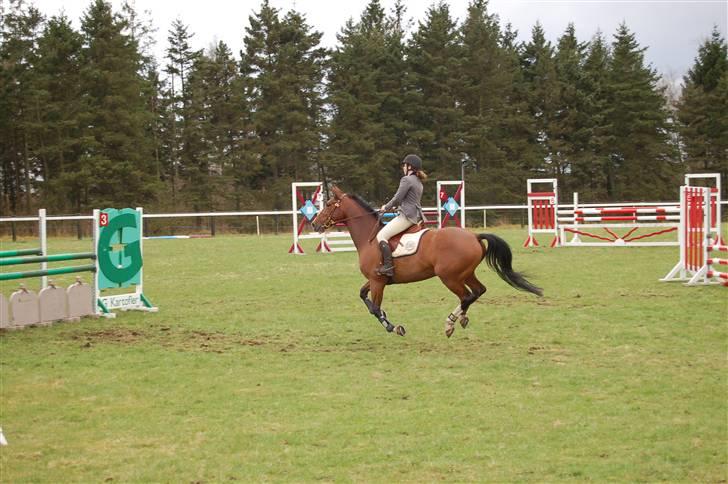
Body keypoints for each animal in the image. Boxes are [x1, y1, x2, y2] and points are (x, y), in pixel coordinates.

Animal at [310, 187, 544, 338]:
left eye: (329, 204)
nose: (314, 224)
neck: (370, 237)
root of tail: (474, 236)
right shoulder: (377, 279)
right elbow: (363, 296)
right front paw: (388, 320)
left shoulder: (377, 281)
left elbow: (375, 308)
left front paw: (394, 327)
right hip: (466, 273)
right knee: (478, 291)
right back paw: (461, 319)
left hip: (449, 277)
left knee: (467, 296)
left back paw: (450, 323)